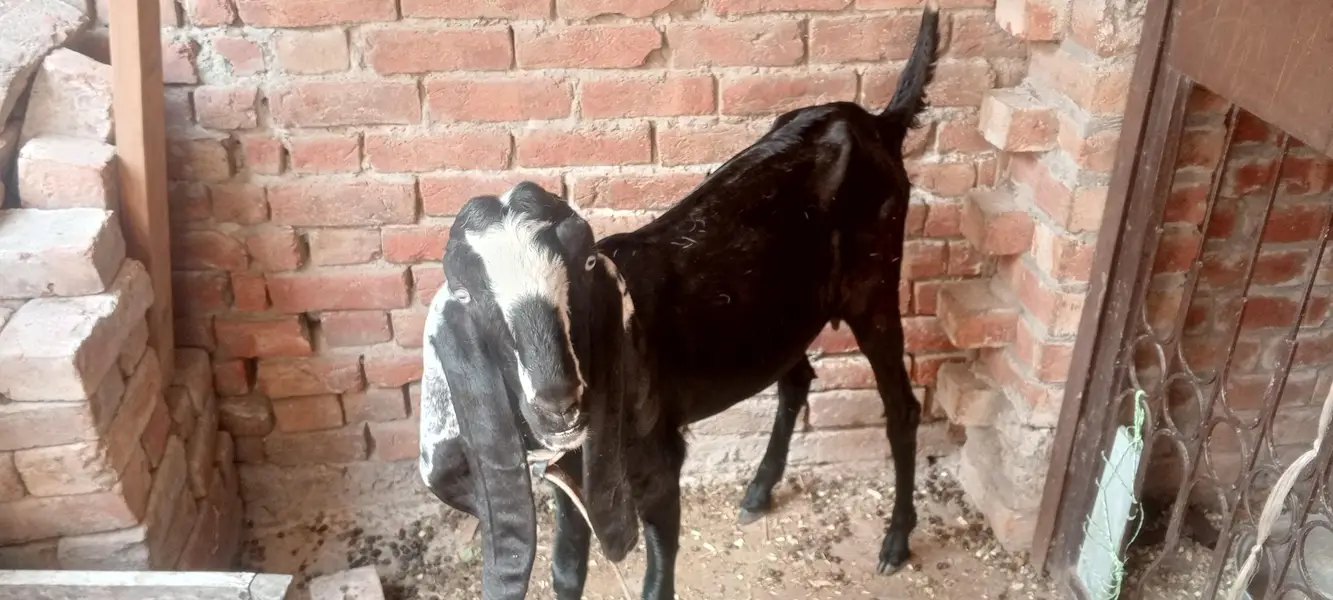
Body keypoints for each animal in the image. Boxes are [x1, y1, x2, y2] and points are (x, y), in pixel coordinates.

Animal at [419, 8, 941, 599]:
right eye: (469, 295)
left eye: (582, 270)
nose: (559, 401)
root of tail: (877, 123)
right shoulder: (571, 473)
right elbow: (566, 570)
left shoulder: (658, 463)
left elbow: (657, 576)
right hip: (781, 313)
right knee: (797, 378)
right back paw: (759, 490)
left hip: (875, 283)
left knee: (901, 407)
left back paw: (896, 541)